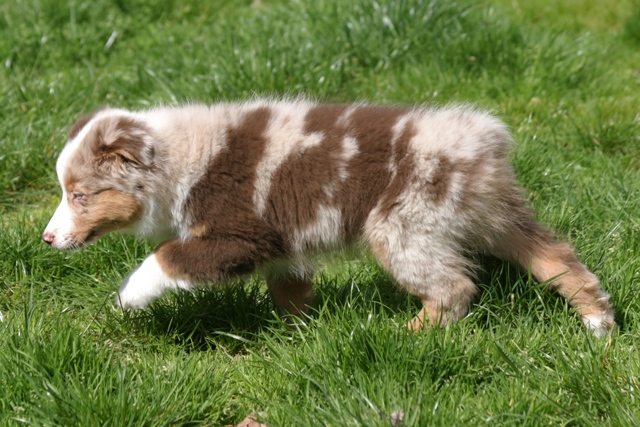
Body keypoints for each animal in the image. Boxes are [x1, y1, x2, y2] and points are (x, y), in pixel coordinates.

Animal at [42, 99, 615, 335]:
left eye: (79, 195)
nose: (47, 239)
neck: (177, 159)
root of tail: (484, 144)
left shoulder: (240, 235)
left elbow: (166, 256)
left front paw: (127, 298)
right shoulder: (281, 248)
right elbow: (288, 290)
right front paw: (299, 331)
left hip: (401, 225)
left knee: (454, 287)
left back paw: (406, 335)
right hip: (494, 215)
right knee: (553, 255)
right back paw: (598, 321)